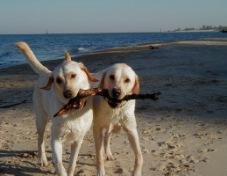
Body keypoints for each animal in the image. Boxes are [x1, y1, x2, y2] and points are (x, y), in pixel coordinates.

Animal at [15, 42, 97, 176]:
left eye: (73, 75)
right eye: (58, 80)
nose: (67, 93)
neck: (72, 109)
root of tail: (47, 72)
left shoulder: (78, 140)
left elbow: (72, 163)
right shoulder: (56, 139)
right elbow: (59, 164)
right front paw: (59, 169)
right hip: (41, 120)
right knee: (40, 140)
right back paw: (42, 159)